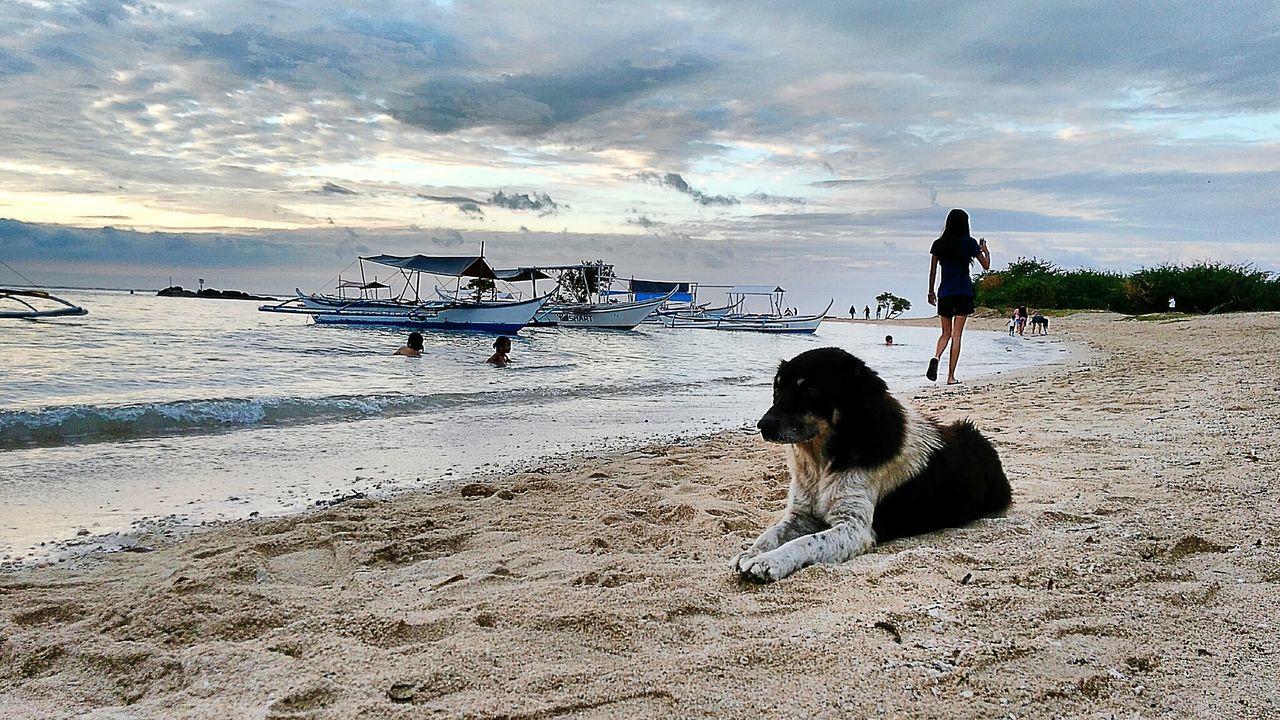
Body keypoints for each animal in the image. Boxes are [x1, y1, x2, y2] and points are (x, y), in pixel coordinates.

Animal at [732, 348, 1008, 584]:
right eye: (778, 388)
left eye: (810, 388)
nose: (763, 426)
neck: (824, 463)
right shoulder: (801, 514)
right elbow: (771, 533)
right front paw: (750, 552)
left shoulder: (856, 527)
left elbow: (806, 542)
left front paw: (770, 561)